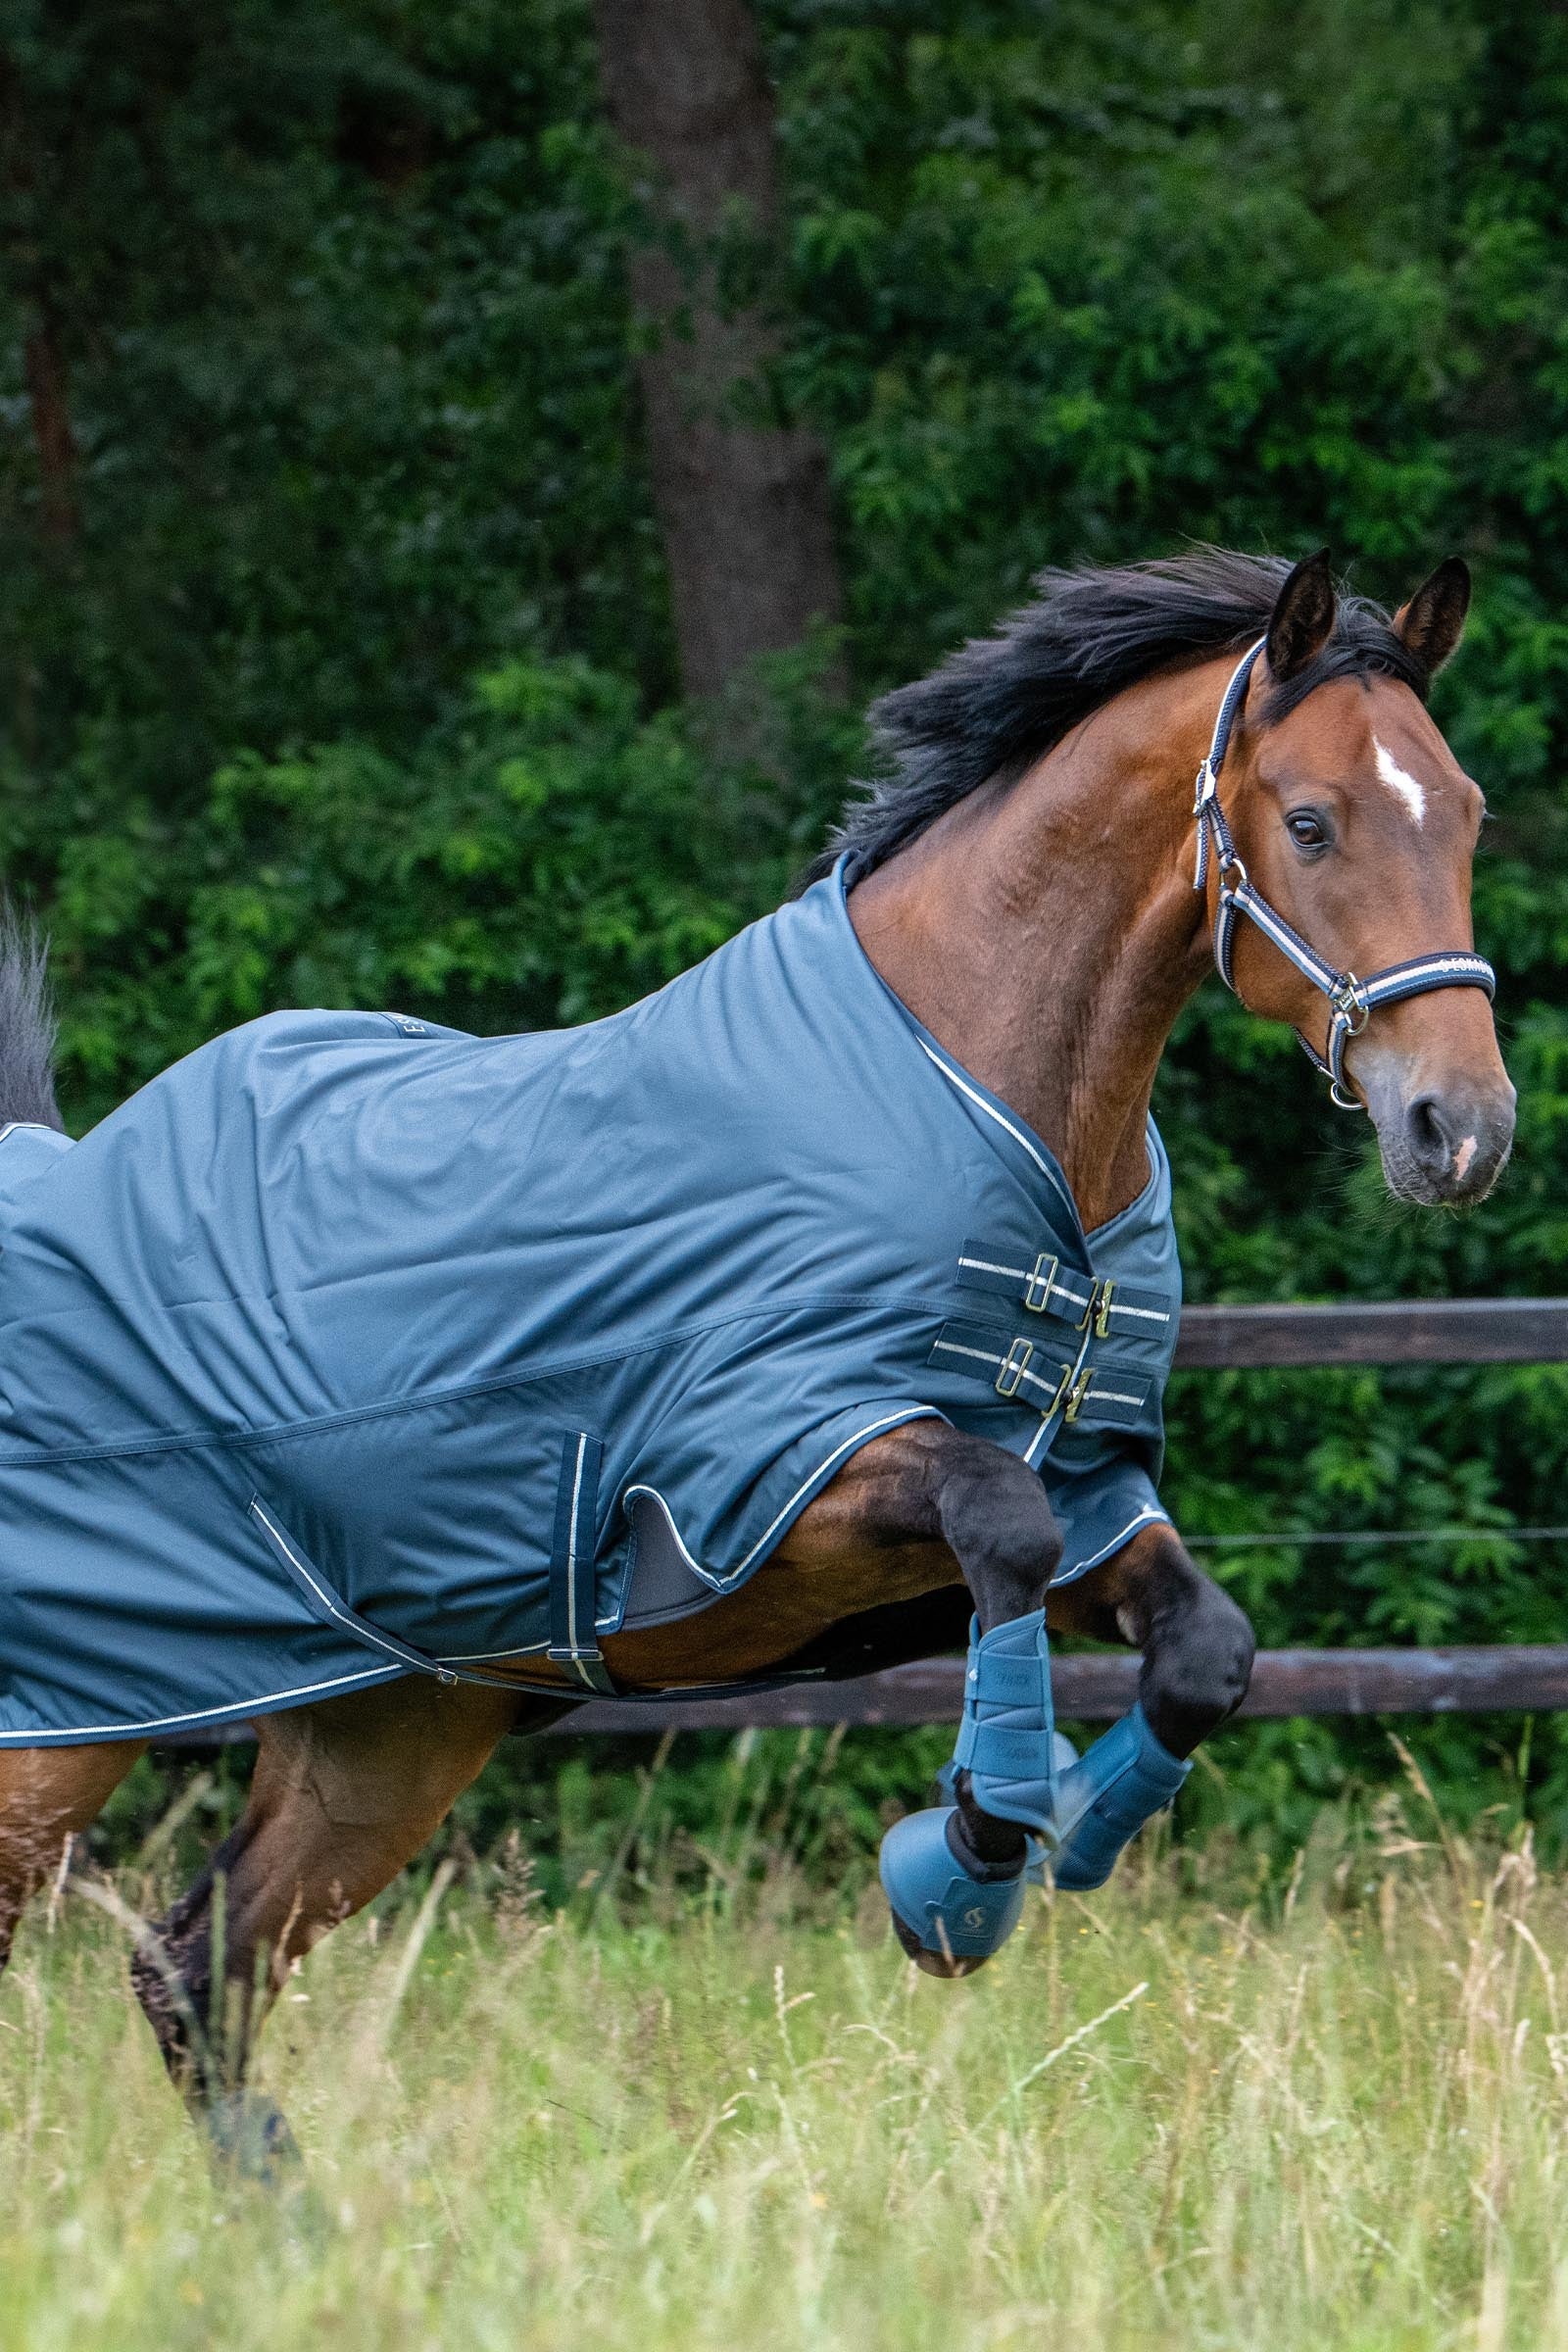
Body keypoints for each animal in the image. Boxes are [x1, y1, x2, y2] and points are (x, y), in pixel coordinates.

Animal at [0, 546, 1514, 2175]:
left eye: (1467, 808)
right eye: (1310, 821)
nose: (1462, 1129)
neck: (985, 1101)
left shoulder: (1091, 1493)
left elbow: (1202, 1652)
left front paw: (1031, 1854)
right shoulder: (774, 1478)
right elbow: (1001, 1524)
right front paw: (960, 1866)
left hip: (392, 1732)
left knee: (196, 1971)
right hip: (61, 1730)